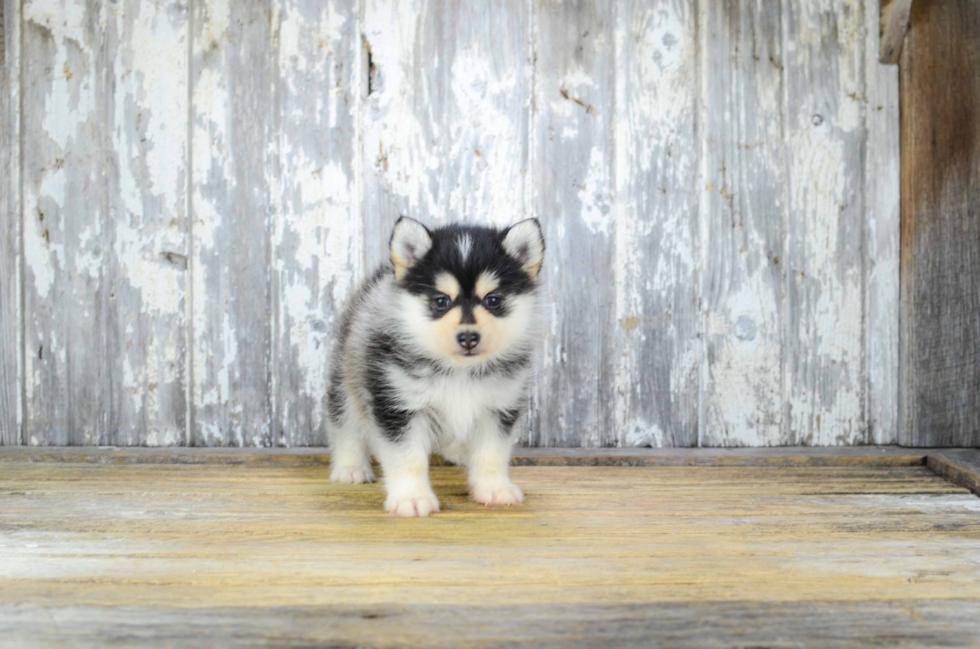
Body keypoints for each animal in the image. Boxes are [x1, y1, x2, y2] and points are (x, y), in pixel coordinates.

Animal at [328, 216, 544, 516]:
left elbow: (491, 453)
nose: (468, 337)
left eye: (493, 300)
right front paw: (411, 498)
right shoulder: (397, 405)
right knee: (346, 424)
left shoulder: (498, 407)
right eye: (441, 301)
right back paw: (350, 467)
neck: (459, 371)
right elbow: (408, 458)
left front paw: (494, 489)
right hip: (348, 378)